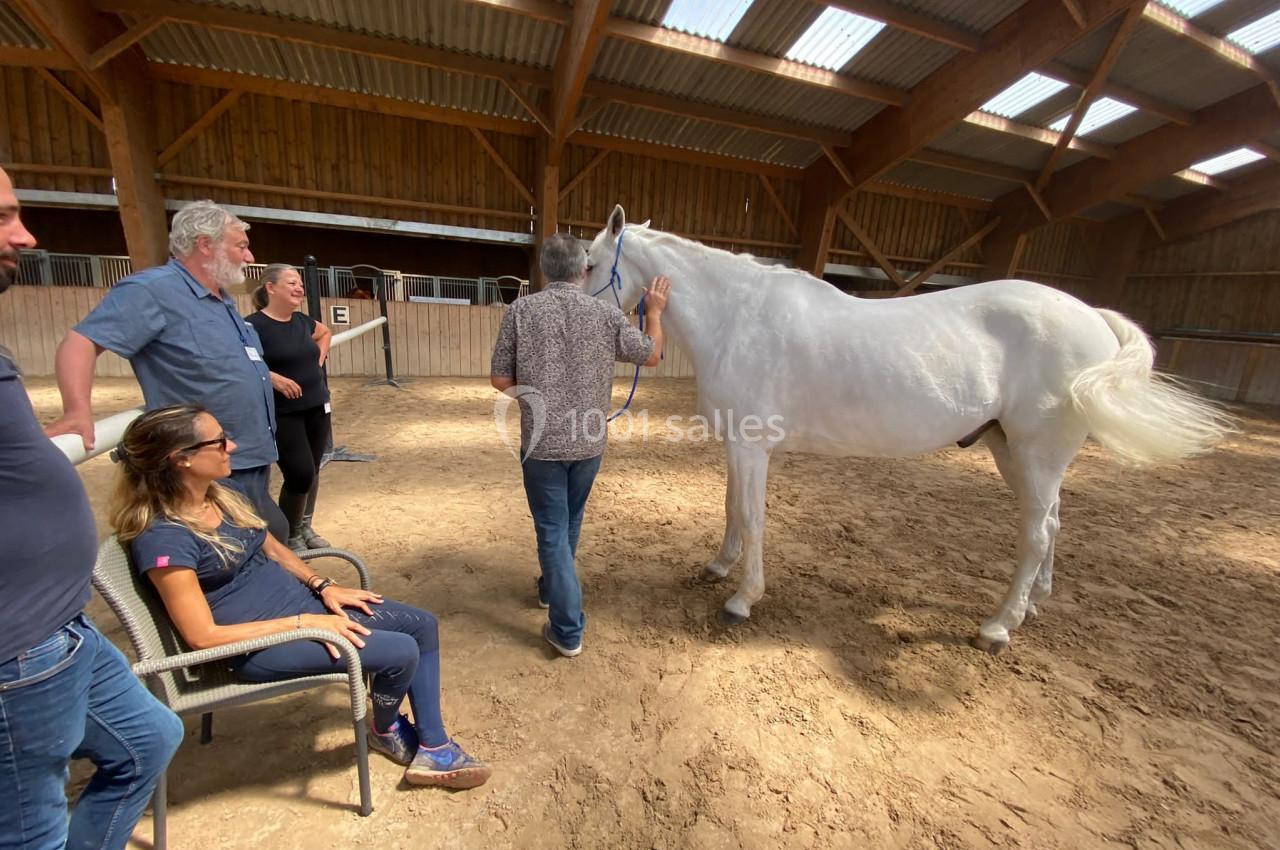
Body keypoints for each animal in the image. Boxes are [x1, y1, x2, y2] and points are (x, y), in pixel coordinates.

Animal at [584, 205, 1232, 653]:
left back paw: (998, 626)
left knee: (1037, 532)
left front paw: (742, 598)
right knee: (1051, 522)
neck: (737, 317)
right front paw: (719, 567)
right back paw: (1034, 603)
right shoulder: (737, 445)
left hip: (1036, 453)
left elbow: (751, 516)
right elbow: (730, 509)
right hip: (1014, 452)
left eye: (590, 264)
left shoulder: (752, 446)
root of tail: (1090, 314)